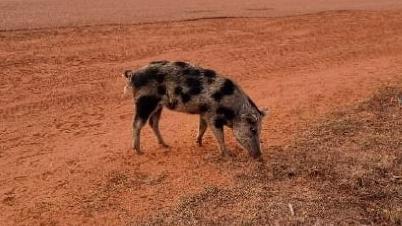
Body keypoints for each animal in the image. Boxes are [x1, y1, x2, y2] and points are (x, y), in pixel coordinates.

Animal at [122, 61, 266, 158]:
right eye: (253, 129)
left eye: (260, 130)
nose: (259, 155)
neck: (234, 109)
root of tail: (133, 74)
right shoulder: (213, 115)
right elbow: (219, 136)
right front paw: (228, 154)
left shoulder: (204, 112)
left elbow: (202, 127)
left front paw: (199, 143)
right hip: (144, 101)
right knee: (137, 124)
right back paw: (139, 151)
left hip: (158, 105)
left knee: (153, 123)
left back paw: (166, 145)